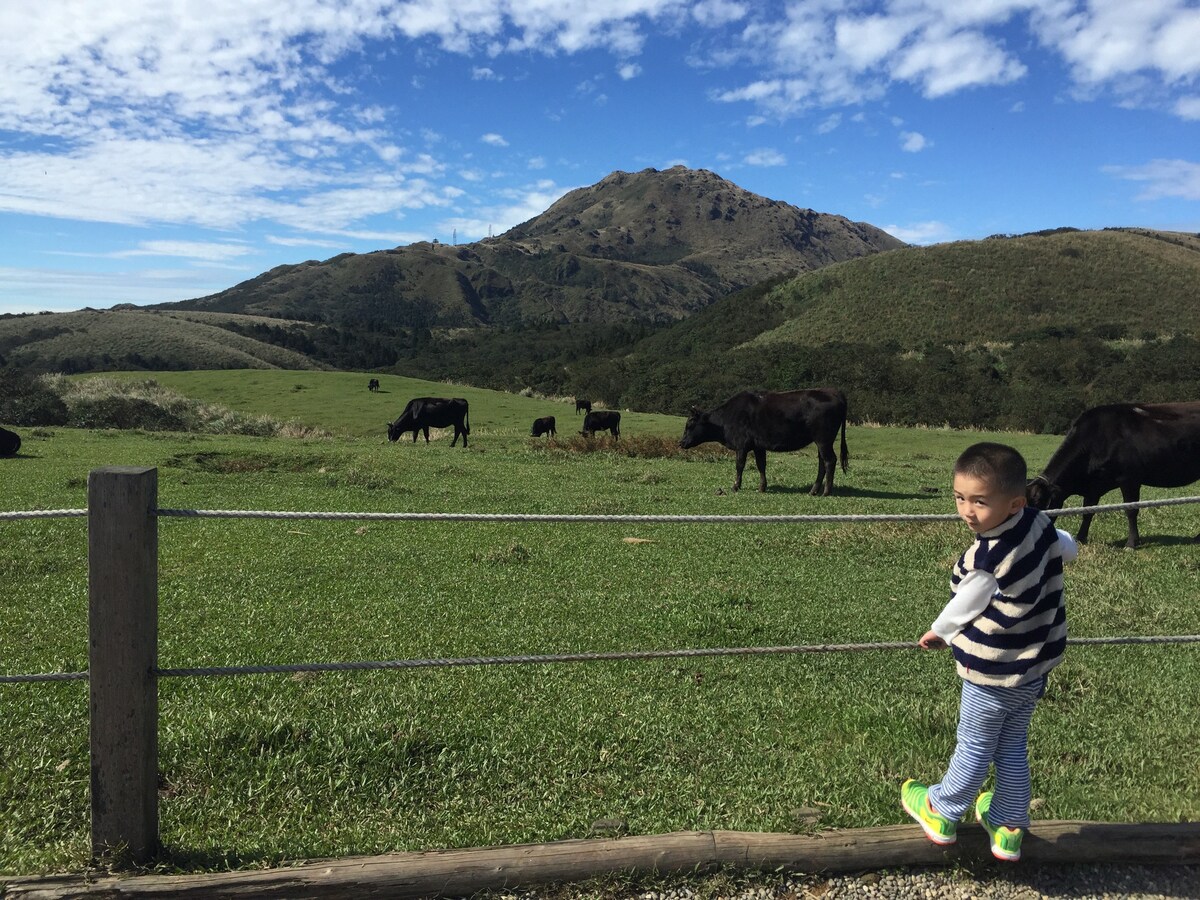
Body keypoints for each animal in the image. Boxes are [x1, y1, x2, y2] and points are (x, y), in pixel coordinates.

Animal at [681, 386, 849, 494]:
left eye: (690, 424)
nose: (681, 443)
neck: (725, 421)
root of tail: (834, 391)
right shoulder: (758, 446)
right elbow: (761, 465)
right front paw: (762, 487)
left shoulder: (741, 445)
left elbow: (739, 465)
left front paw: (735, 486)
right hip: (821, 441)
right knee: (822, 462)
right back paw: (813, 490)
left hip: (823, 440)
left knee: (830, 460)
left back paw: (826, 492)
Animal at [1027, 400, 1200, 549]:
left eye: (1038, 502)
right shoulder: (1094, 486)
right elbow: (1088, 511)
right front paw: (1080, 537)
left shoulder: (1129, 479)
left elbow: (1131, 510)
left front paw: (1131, 543)